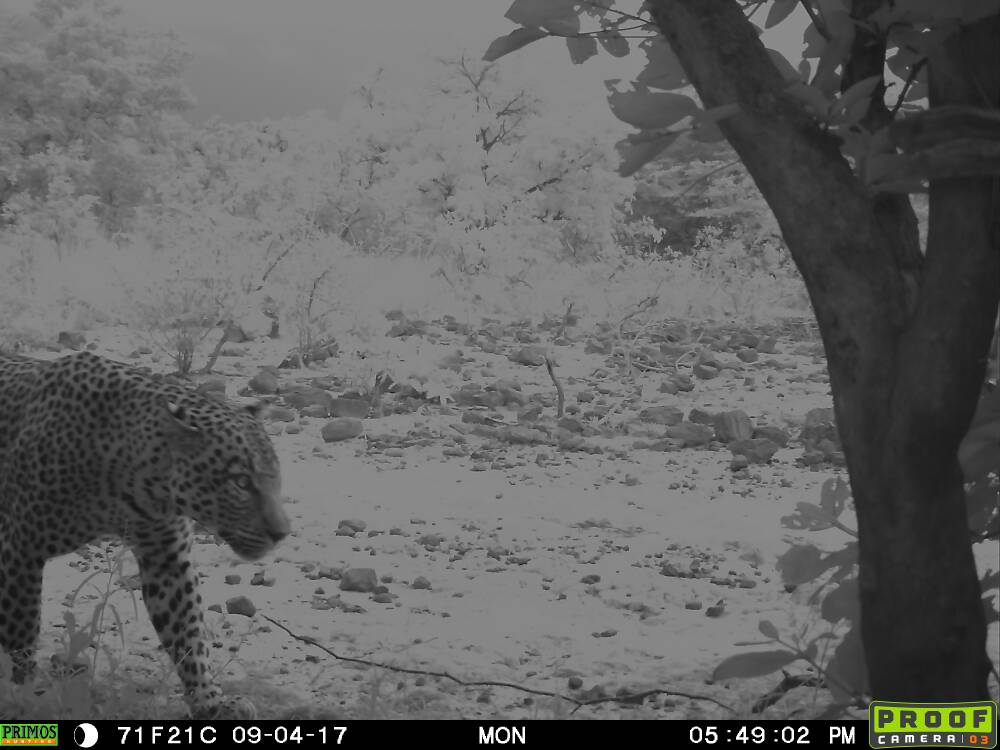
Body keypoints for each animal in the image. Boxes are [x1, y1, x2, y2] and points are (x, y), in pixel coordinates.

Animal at [0, 350, 290, 720]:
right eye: (240, 481)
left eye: (275, 477)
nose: (282, 533)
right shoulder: (20, 548)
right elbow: (20, 631)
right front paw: (20, 695)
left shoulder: (167, 556)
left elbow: (188, 633)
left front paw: (210, 702)